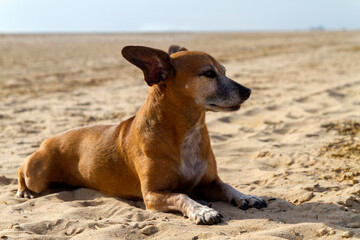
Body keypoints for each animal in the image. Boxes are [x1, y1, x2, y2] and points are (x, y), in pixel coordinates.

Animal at [16, 45, 268, 225]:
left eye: (224, 71)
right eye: (208, 74)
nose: (248, 91)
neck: (187, 133)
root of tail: (49, 140)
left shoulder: (210, 181)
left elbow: (227, 186)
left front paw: (246, 196)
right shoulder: (153, 194)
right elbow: (182, 196)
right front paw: (202, 209)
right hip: (38, 176)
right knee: (21, 169)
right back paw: (24, 191)